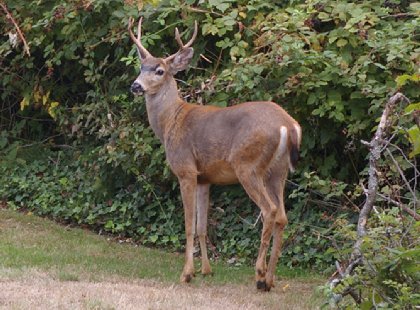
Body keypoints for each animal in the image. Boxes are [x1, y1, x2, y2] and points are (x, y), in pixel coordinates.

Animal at [128, 18, 302, 292]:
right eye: (141, 66)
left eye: (160, 71)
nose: (135, 86)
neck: (170, 122)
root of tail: (288, 124)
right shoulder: (205, 178)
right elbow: (201, 226)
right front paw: (206, 270)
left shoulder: (186, 170)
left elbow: (188, 225)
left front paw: (187, 273)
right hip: (278, 170)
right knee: (283, 216)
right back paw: (270, 280)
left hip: (248, 165)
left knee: (270, 210)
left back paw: (259, 274)